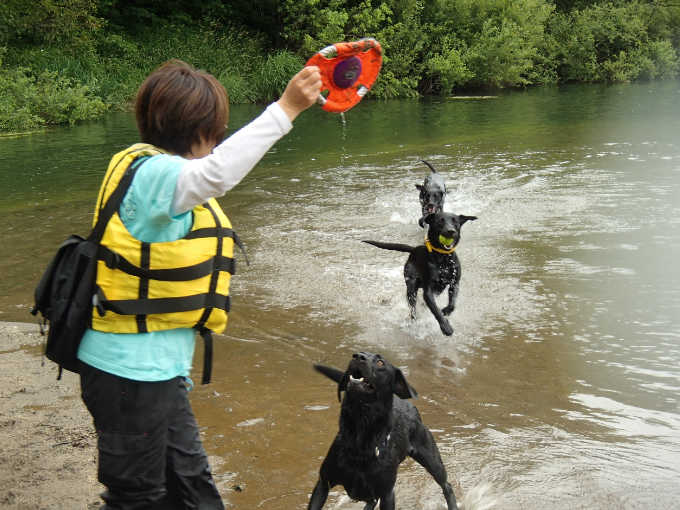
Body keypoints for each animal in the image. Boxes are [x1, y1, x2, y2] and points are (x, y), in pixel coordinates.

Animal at [308, 350, 456, 510]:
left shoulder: (387, 495)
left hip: (431, 460)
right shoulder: (323, 484)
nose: (357, 356)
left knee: (446, 485)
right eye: (358, 353)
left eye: (380, 362)